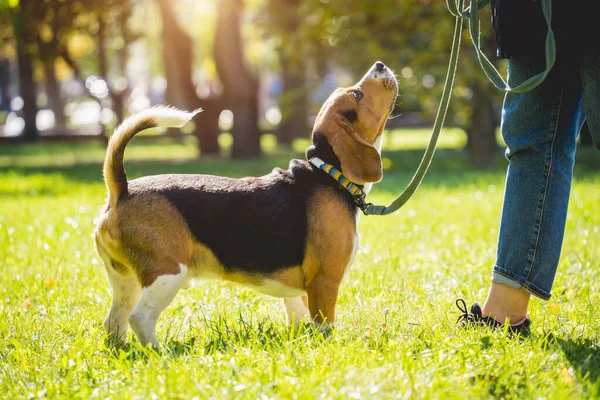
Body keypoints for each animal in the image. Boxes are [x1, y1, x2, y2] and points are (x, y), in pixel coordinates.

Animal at [95, 60, 398, 346]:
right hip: (167, 273)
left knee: (114, 321)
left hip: (125, 282)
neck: (328, 174)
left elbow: (298, 318)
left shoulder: (300, 292)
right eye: (357, 94)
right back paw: (160, 352)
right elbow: (324, 327)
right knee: (140, 317)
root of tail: (122, 191)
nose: (380, 65)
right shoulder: (324, 281)